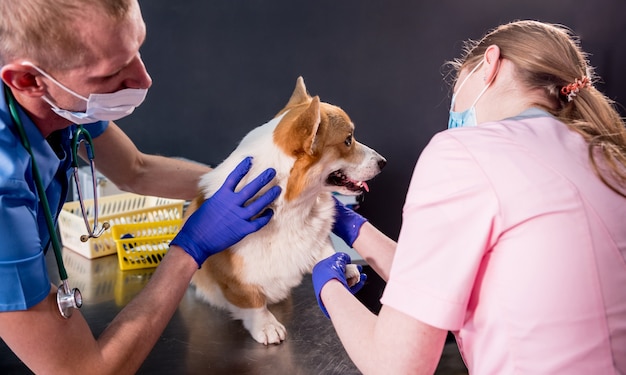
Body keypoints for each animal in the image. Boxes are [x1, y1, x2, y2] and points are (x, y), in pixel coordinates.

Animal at [185, 77, 382, 346]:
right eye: (348, 139)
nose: (384, 162)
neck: (290, 208)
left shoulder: (316, 237)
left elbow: (323, 251)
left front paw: (343, 267)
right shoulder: (234, 277)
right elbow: (252, 300)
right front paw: (266, 325)